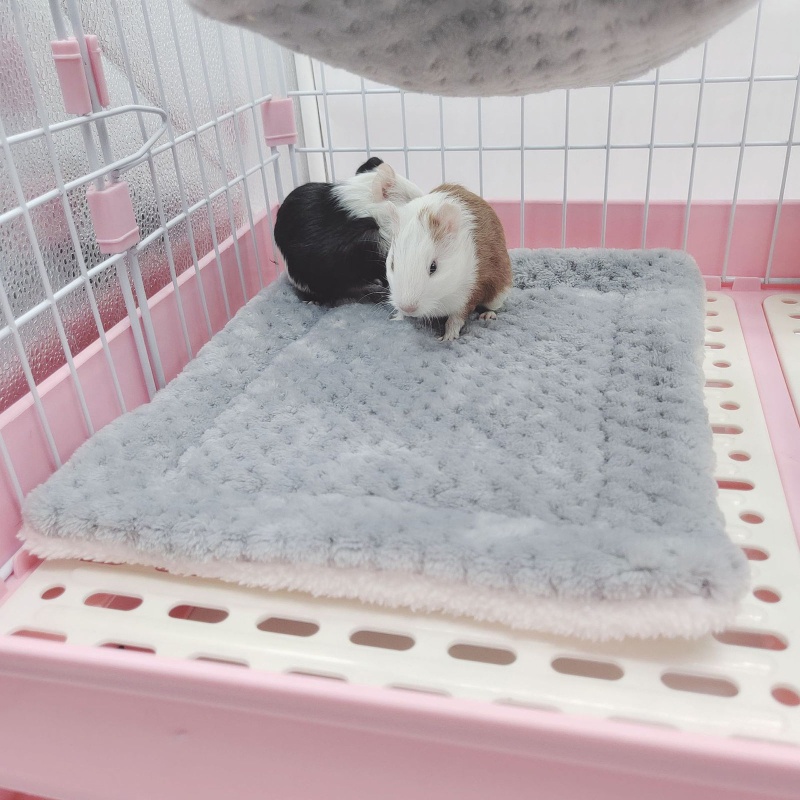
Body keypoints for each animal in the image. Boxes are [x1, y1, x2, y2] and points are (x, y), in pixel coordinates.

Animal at [385, 183, 513, 341]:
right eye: (392, 264)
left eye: (433, 267)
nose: (408, 308)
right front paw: (396, 318)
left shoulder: (467, 296)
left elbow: (456, 319)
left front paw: (447, 338)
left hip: (498, 296)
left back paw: (487, 316)